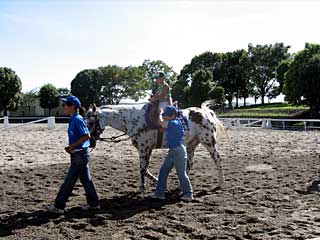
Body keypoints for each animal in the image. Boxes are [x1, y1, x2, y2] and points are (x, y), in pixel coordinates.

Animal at [87, 101, 228, 193]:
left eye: (91, 122)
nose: (91, 142)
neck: (134, 120)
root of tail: (205, 113)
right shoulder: (145, 149)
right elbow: (144, 169)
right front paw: (147, 185)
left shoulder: (145, 149)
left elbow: (143, 169)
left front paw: (145, 187)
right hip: (191, 144)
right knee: (190, 163)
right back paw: (181, 184)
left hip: (209, 142)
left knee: (217, 159)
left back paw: (221, 183)